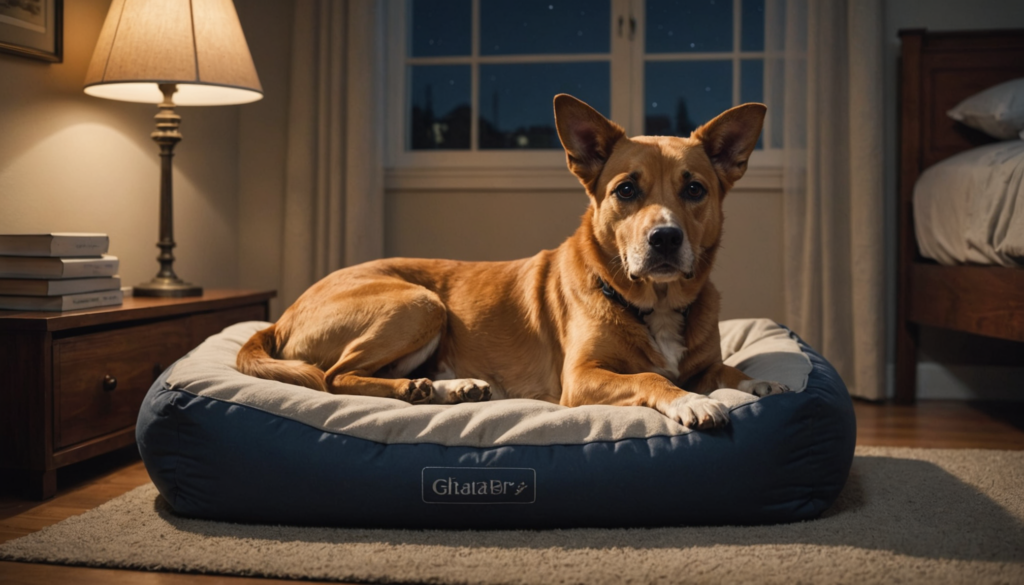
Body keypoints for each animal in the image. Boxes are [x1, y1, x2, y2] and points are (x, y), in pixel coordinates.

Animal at [235, 93, 786, 428]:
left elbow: (727, 370)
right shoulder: (581, 378)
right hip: (420, 304)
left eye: (695, 190)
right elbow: (653, 378)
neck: (656, 304)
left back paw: (449, 388)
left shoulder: (705, 363)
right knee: (335, 378)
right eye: (626, 190)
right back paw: (417, 388)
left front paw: (759, 382)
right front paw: (691, 402)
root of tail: (283, 316)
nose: (665, 239)